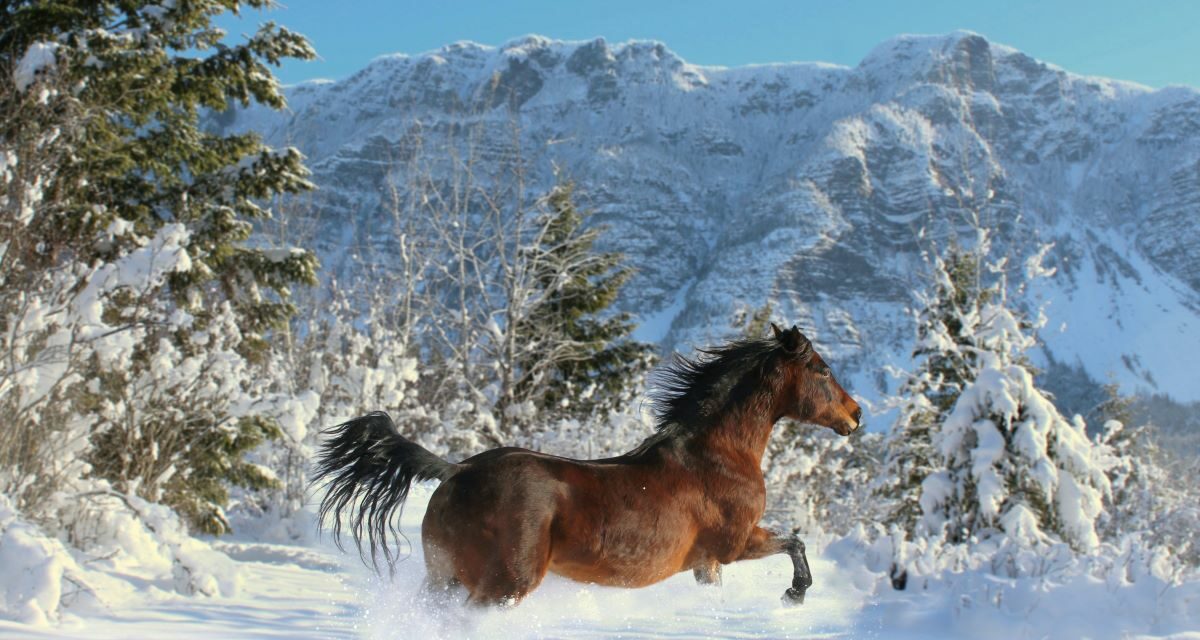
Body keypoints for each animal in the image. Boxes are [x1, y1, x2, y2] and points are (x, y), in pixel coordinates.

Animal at [313, 323, 862, 607]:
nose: (856, 414)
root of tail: (456, 472)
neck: (717, 456)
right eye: (822, 369)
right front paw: (795, 593)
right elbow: (794, 542)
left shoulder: (707, 565)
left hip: (444, 577)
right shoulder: (734, 543)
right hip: (504, 584)